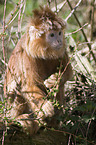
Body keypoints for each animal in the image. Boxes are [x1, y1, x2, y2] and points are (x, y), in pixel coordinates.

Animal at [3, 5, 73, 135]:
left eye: (59, 33)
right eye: (52, 35)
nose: (59, 41)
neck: (43, 52)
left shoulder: (61, 51)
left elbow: (69, 72)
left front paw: (54, 80)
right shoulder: (27, 56)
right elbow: (29, 86)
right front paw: (44, 106)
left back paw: (52, 122)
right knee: (16, 87)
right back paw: (21, 119)